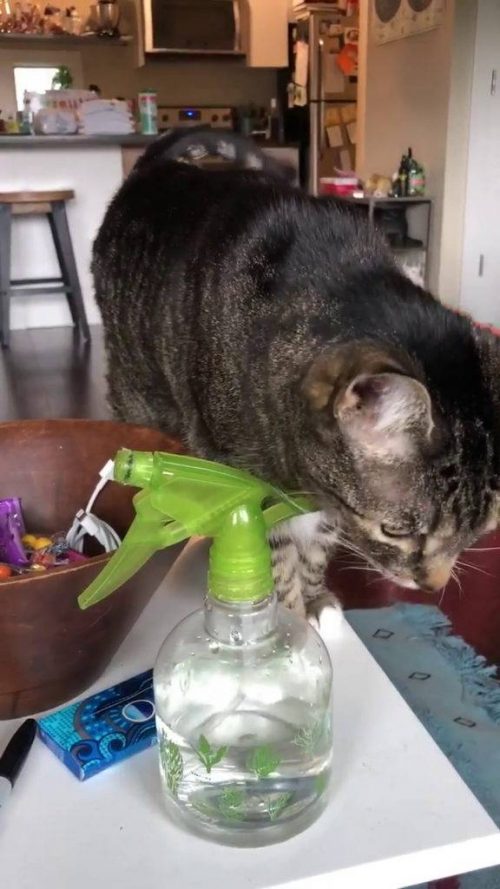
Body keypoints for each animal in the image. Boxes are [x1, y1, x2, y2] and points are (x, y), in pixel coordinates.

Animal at [93, 128, 500, 625]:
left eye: (481, 531)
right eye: (396, 531)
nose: (433, 585)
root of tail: (156, 166)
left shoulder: (327, 500)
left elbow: (317, 546)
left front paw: (317, 598)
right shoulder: (249, 484)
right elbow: (278, 554)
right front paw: (287, 616)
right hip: (137, 391)